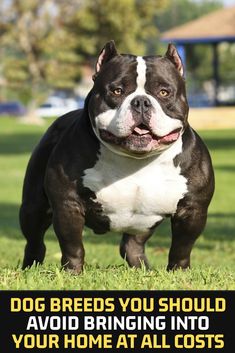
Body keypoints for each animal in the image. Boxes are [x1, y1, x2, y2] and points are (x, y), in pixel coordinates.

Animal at [19, 42, 215, 272]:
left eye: (164, 92)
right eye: (117, 91)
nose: (141, 102)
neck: (137, 161)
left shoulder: (192, 210)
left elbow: (182, 248)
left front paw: (179, 272)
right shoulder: (68, 204)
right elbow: (72, 246)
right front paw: (72, 272)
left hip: (142, 224)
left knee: (132, 245)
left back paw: (143, 269)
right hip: (34, 208)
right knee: (34, 241)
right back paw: (29, 267)